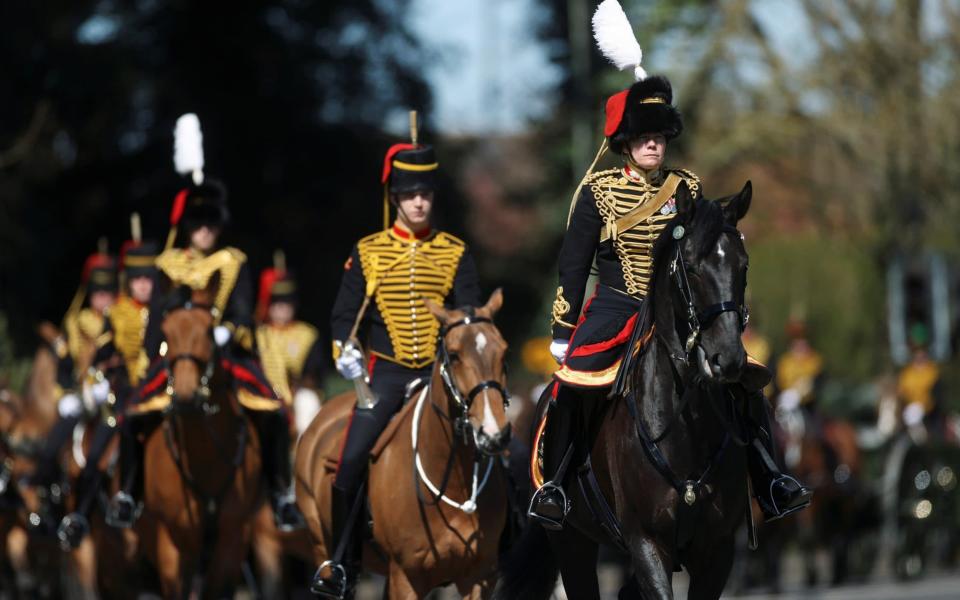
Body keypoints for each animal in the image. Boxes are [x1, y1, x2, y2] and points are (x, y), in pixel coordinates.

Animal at [135, 284, 262, 596]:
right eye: (166, 333)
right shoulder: (170, 543)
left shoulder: (232, 541)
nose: (185, 396)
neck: (204, 459)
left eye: (208, 330)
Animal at [296, 290, 512, 596]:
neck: (451, 480)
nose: (493, 432)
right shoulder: (406, 576)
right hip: (321, 543)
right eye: (454, 355)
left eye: (503, 351)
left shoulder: (480, 577)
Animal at [498, 183, 760, 600]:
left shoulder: (716, 550)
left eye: (743, 266)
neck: (685, 422)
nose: (728, 359)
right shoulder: (646, 542)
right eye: (691, 267)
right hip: (571, 541)